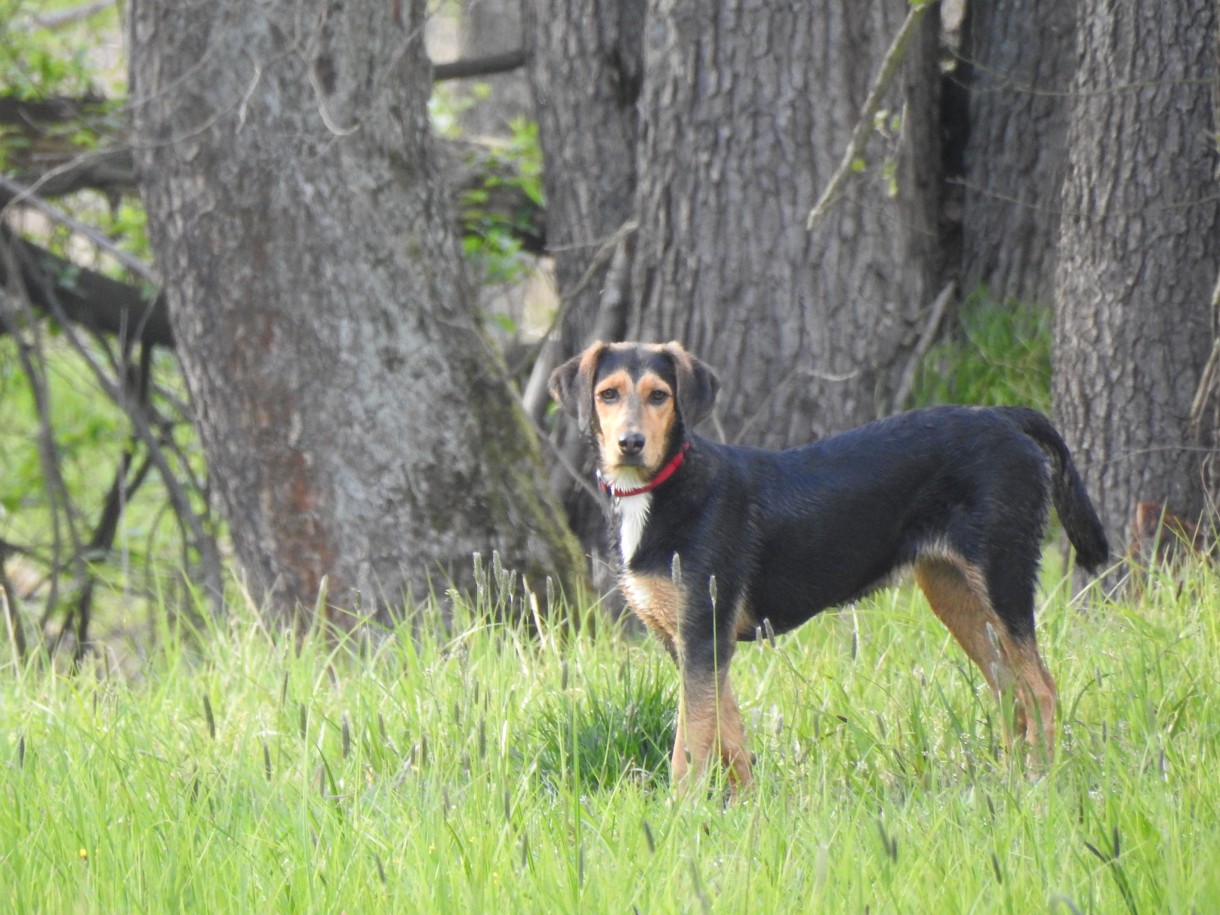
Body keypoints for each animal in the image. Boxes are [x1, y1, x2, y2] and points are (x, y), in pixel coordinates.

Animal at [553, 341, 1117, 790]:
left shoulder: (703, 634)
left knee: (1040, 690)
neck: (662, 489)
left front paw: (682, 817)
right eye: (608, 394)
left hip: (1004, 577)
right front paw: (742, 815)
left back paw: (1039, 785)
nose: (630, 443)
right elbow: (728, 737)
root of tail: (1003, 416)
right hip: (954, 592)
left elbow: (689, 746)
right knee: (1010, 692)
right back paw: (1009, 782)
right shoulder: (691, 642)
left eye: (658, 396)